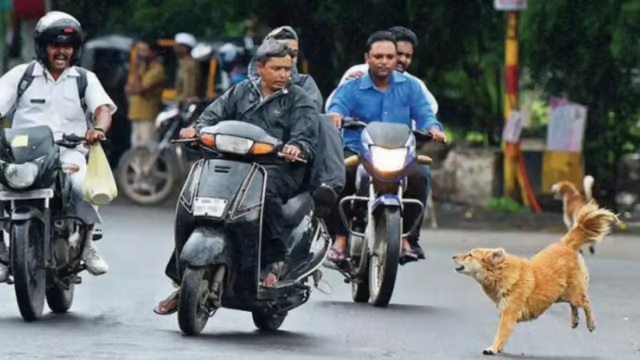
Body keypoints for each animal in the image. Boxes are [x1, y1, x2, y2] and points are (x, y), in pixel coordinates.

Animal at [452, 201, 616, 356]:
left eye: (470, 255)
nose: (453, 256)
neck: (501, 273)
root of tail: (566, 244)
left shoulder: (509, 314)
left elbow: (501, 333)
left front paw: (492, 348)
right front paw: (498, 348)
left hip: (573, 293)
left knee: (585, 302)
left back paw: (590, 324)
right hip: (560, 294)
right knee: (574, 305)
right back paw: (575, 320)